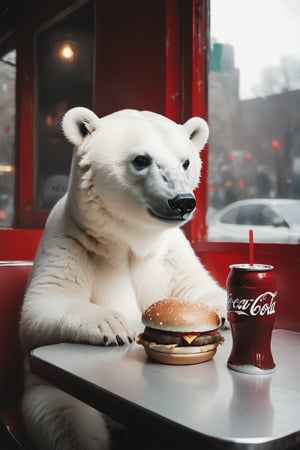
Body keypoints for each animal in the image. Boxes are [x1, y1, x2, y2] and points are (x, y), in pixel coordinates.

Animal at [19, 107, 226, 448]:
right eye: (141, 159)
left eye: (185, 161)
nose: (182, 201)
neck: (130, 239)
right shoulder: (71, 238)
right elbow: (44, 302)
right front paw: (112, 325)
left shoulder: (169, 250)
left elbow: (194, 284)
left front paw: (221, 310)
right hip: (45, 390)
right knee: (66, 421)